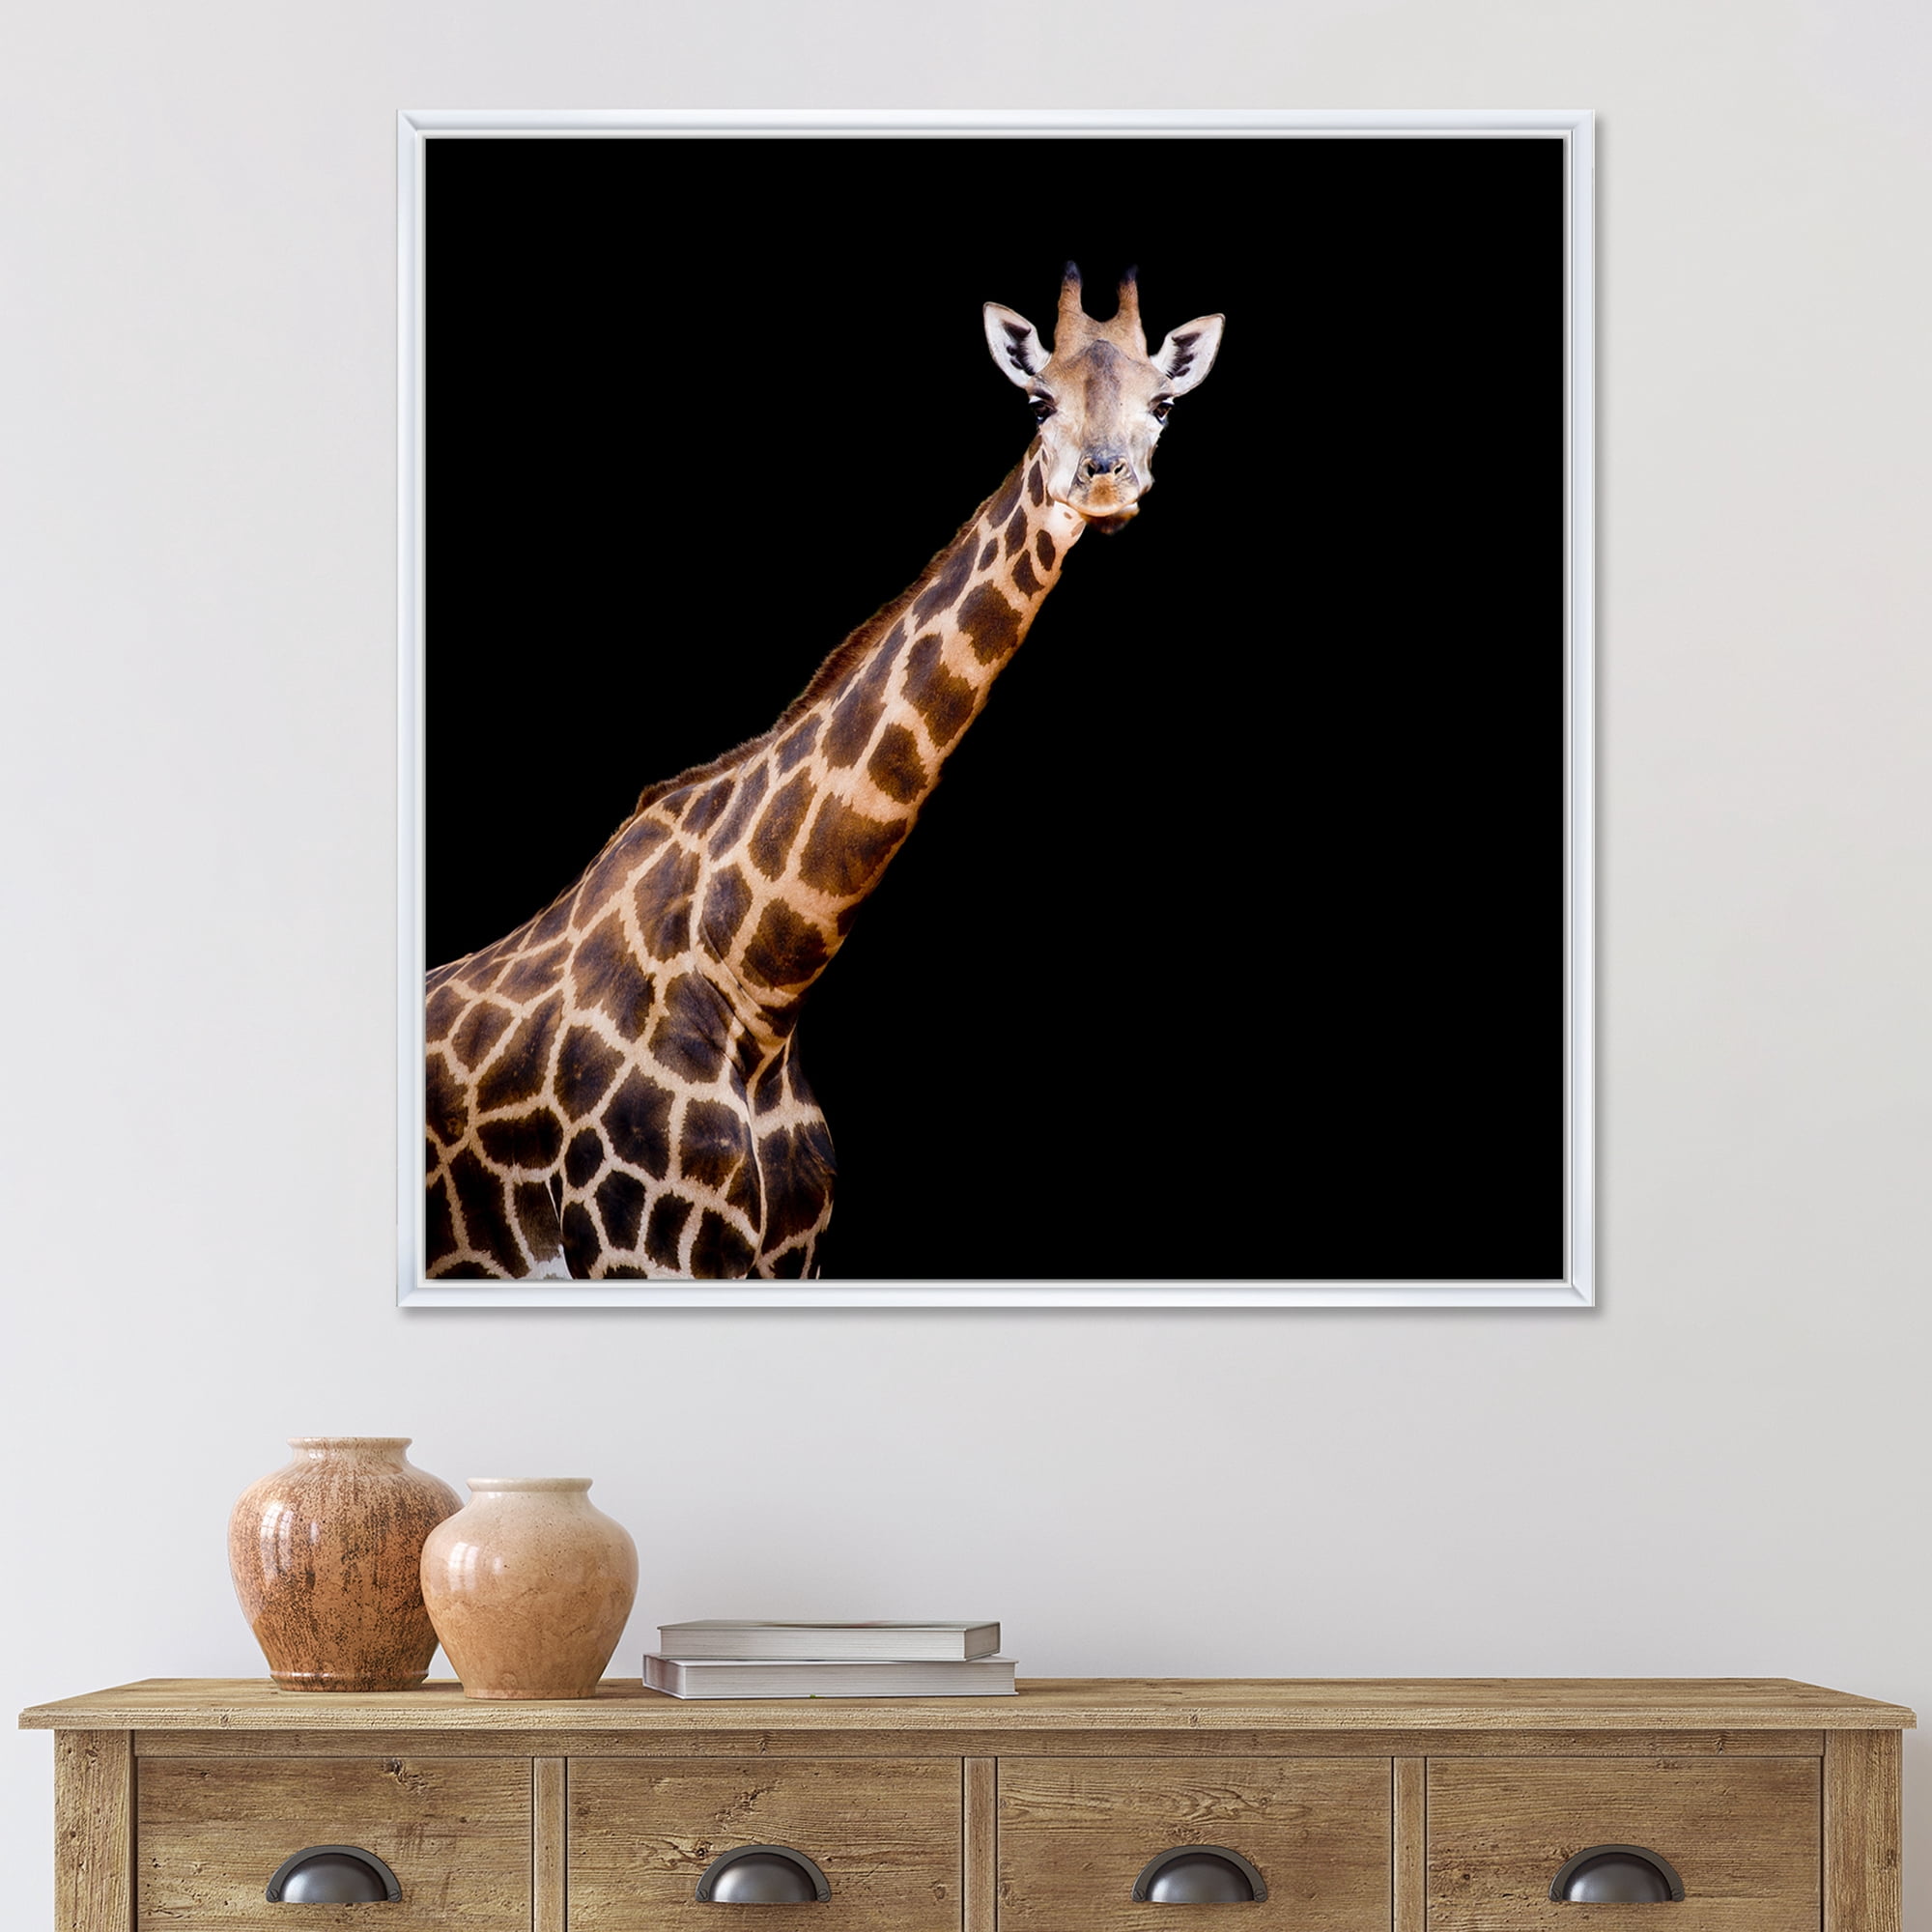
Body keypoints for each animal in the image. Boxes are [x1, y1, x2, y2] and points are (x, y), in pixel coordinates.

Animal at [424, 265, 1224, 1280]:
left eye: (1164, 403)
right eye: (1038, 400)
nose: (1107, 479)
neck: (760, 983)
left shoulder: (790, 1257)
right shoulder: (633, 1249)